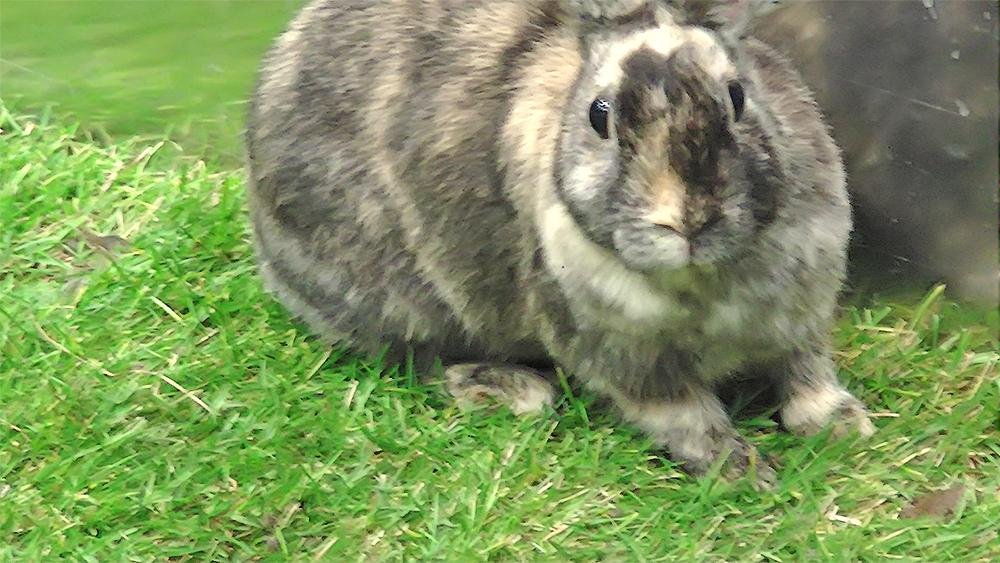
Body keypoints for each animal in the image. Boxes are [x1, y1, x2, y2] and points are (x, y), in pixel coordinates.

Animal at [245, 0, 875, 487]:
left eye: (738, 97)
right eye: (600, 115)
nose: (688, 220)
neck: (703, 282)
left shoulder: (800, 319)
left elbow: (807, 373)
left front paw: (844, 425)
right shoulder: (629, 362)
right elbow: (687, 416)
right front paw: (742, 470)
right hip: (393, 298)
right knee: (412, 356)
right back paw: (512, 390)